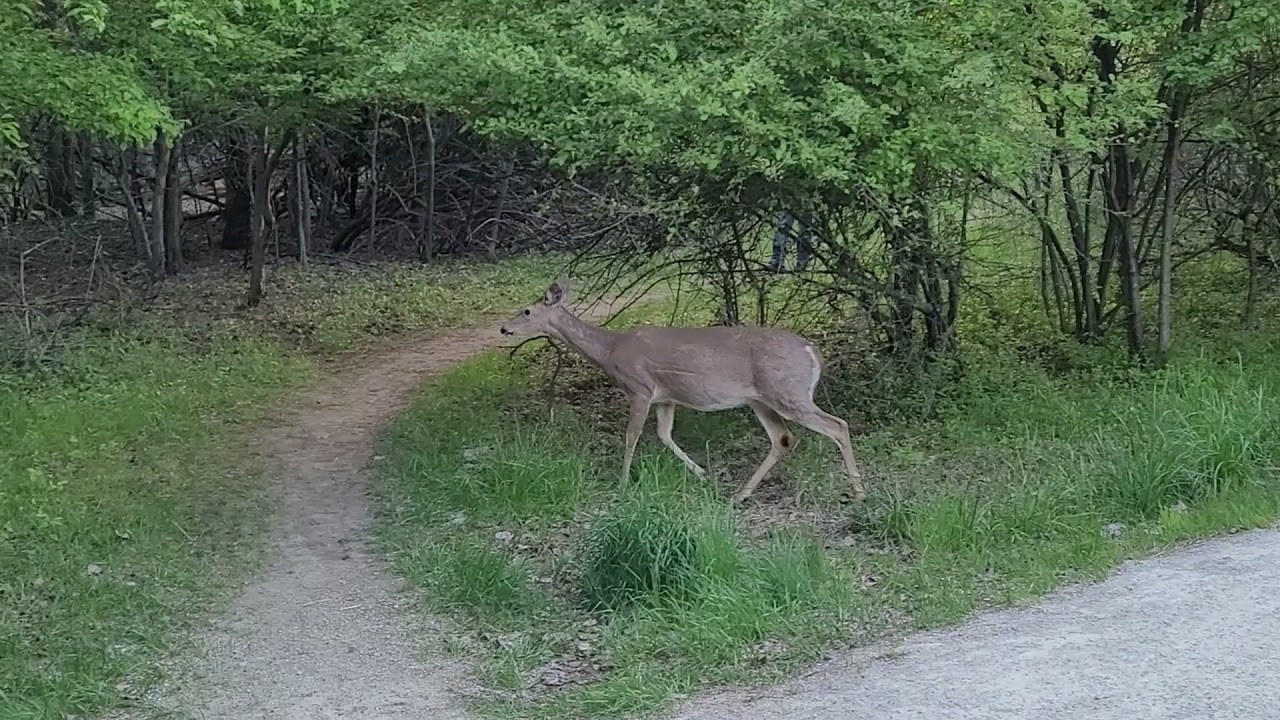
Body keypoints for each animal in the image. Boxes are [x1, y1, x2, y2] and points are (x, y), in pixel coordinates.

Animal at [499, 277, 866, 505]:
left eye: (526, 310)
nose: (503, 328)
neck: (610, 350)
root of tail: (812, 351)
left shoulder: (639, 387)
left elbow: (632, 436)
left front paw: (622, 483)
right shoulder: (667, 398)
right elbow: (664, 435)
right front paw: (702, 475)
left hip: (786, 391)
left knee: (837, 425)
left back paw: (859, 493)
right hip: (760, 398)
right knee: (783, 439)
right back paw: (739, 495)